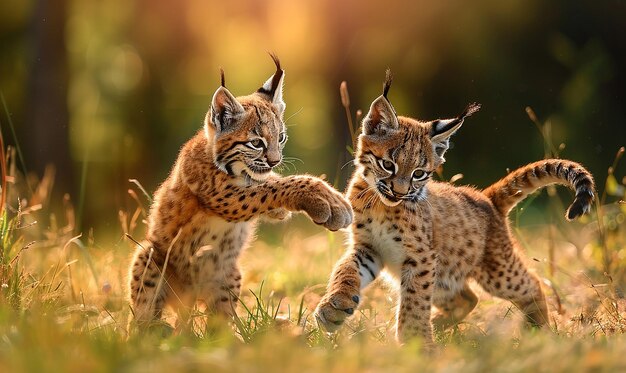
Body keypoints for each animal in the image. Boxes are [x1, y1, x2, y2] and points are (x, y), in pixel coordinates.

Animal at [127, 54, 352, 326]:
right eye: (256, 143)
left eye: (281, 138)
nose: (275, 160)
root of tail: (188, 301)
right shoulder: (226, 197)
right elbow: (275, 186)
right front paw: (324, 201)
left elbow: (269, 181)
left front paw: (286, 208)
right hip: (147, 253)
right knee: (139, 318)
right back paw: (152, 329)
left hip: (230, 273)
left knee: (216, 321)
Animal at [314, 70, 592, 346]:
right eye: (388, 165)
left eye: (419, 173)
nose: (399, 192)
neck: (382, 205)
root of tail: (484, 196)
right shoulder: (369, 246)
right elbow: (346, 270)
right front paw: (335, 306)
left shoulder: (421, 257)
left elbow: (414, 300)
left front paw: (416, 343)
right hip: (447, 276)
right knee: (469, 298)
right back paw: (439, 326)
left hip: (496, 272)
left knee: (532, 283)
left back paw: (538, 332)